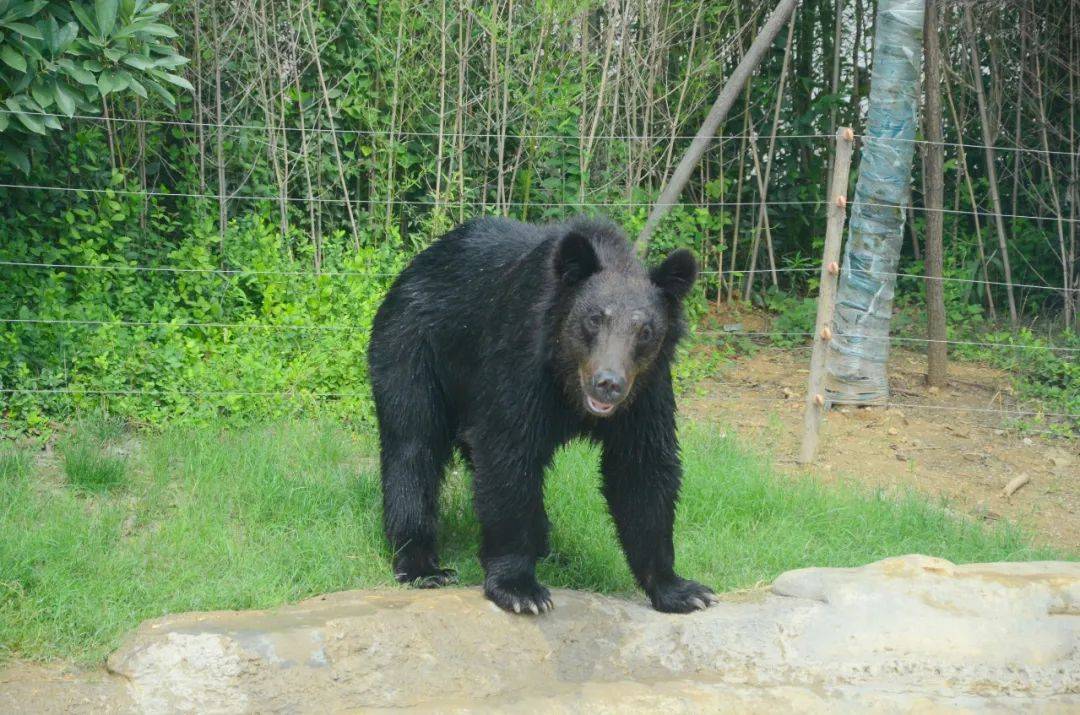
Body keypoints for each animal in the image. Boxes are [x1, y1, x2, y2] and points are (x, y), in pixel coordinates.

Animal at [369, 217, 717, 617]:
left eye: (645, 331)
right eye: (594, 318)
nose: (608, 384)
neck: (568, 380)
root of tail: (412, 269)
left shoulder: (645, 392)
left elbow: (643, 472)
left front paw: (682, 590)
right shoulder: (522, 360)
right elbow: (507, 452)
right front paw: (521, 590)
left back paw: (542, 539)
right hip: (412, 347)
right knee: (412, 444)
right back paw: (421, 564)